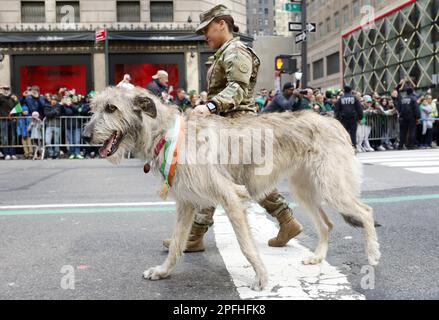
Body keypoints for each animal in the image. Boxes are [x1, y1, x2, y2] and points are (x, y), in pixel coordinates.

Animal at [83, 86, 382, 292]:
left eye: (111, 108)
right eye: (94, 107)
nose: (85, 136)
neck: (167, 134)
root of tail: (333, 121)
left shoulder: (231, 197)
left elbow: (246, 246)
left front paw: (262, 278)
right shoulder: (187, 202)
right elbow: (177, 243)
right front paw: (163, 271)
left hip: (332, 186)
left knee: (366, 211)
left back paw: (372, 254)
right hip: (304, 189)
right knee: (327, 223)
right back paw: (318, 257)